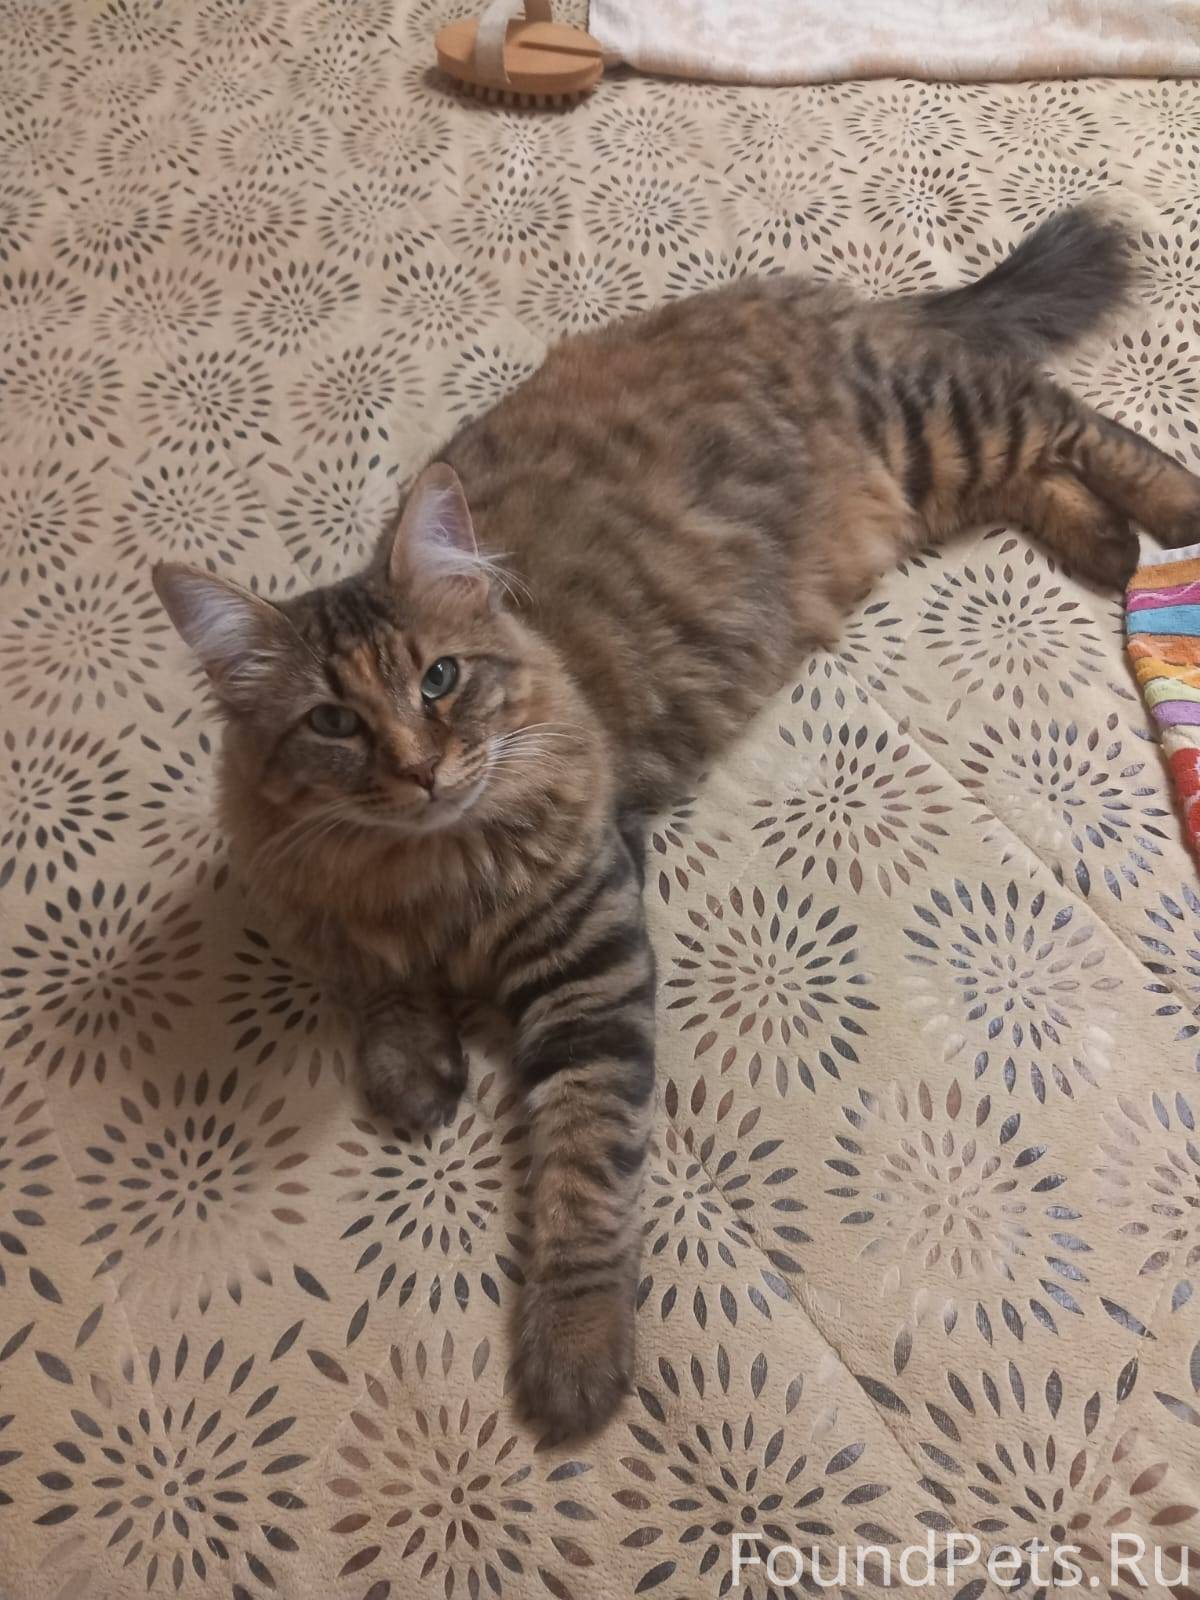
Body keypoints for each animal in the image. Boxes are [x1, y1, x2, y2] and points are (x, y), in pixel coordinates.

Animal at [154, 204, 1200, 1441]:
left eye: (440, 680)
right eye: (333, 722)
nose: (420, 770)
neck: (428, 870)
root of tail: (806, 295)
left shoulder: (589, 948)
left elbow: (581, 1159)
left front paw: (573, 1349)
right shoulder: (316, 900)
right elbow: (367, 984)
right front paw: (412, 1067)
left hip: (930, 417)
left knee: (1071, 417)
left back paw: (1172, 515)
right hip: (927, 475)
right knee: (1040, 464)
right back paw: (1105, 548)